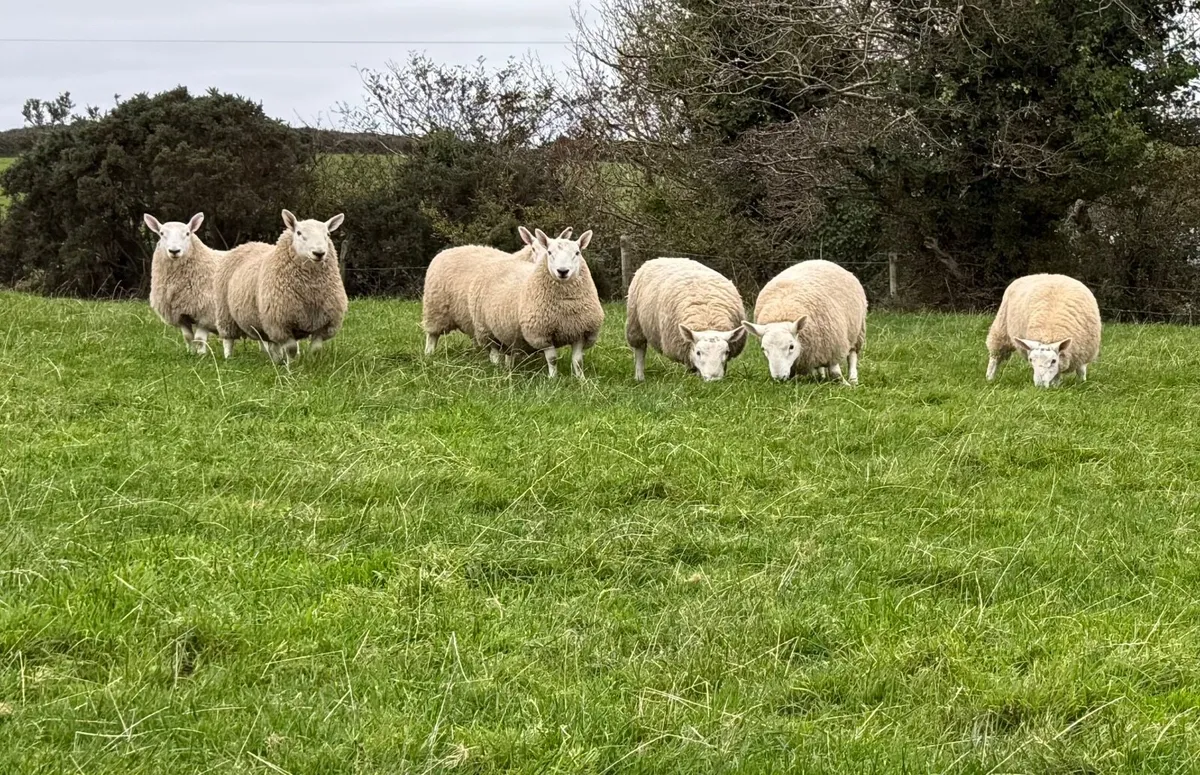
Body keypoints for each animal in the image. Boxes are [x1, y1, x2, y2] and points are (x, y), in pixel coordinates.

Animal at [145, 212, 225, 355]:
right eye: (161, 233)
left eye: (187, 233)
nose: (174, 251)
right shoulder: (180, 314)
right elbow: (188, 337)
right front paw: (191, 353)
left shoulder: (206, 313)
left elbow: (199, 339)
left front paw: (202, 355)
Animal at [214, 210, 348, 363]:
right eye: (299, 233)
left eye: (328, 234)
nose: (319, 253)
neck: (311, 290)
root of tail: (249, 243)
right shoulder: (280, 323)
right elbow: (291, 348)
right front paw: (291, 366)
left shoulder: (324, 324)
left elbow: (316, 349)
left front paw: (312, 363)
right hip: (226, 312)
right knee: (228, 339)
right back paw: (229, 358)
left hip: (260, 319)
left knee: (267, 341)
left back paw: (271, 357)